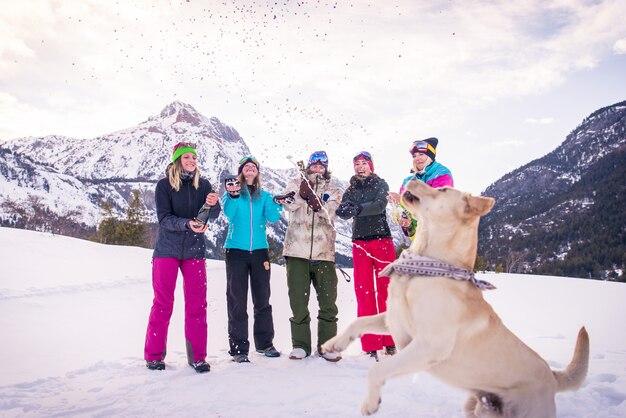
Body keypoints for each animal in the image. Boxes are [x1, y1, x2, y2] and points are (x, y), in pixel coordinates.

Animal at [320, 180, 588, 418]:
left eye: (443, 189)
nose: (412, 179)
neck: (425, 265)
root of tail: (552, 376)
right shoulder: (394, 320)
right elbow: (360, 321)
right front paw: (334, 344)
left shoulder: (429, 345)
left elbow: (378, 369)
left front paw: (370, 402)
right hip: (475, 407)